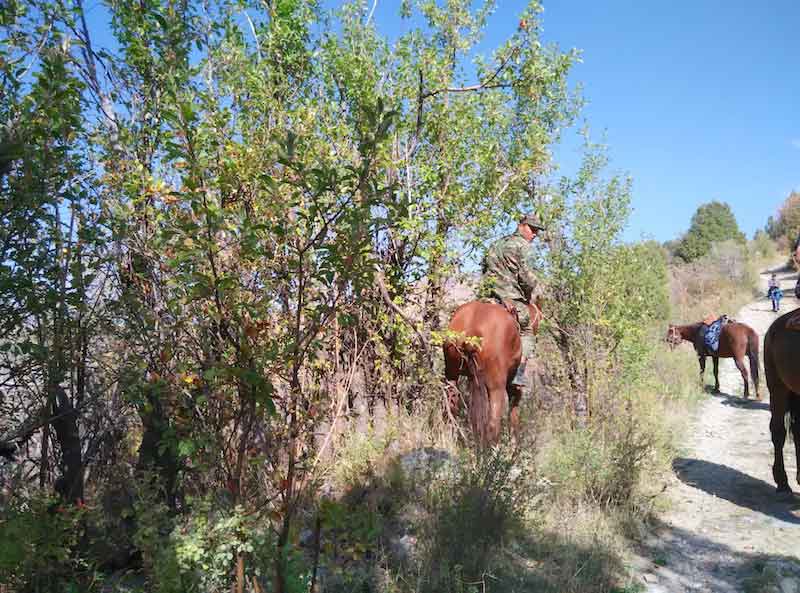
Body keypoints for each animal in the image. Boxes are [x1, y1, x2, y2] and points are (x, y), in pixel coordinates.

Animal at [444, 300, 544, 444]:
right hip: (496, 387)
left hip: (452, 375)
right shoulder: (512, 388)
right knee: (493, 423)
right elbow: (514, 415)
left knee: (451, 409)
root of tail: (471, 327)